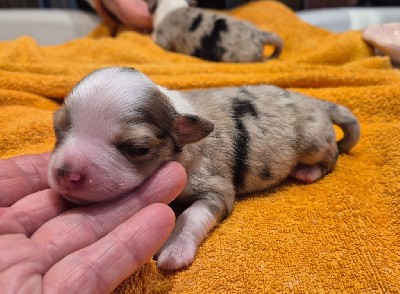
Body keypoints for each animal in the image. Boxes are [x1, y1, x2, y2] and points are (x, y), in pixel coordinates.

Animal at [48, 66, 360, 272]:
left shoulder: (216, 186)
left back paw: (310, 171)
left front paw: (175, 247)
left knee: (331, 154)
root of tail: (317, 102)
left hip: (312, 140)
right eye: (57, 128)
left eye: (138, 149)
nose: (66, 174)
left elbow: (192, 215)